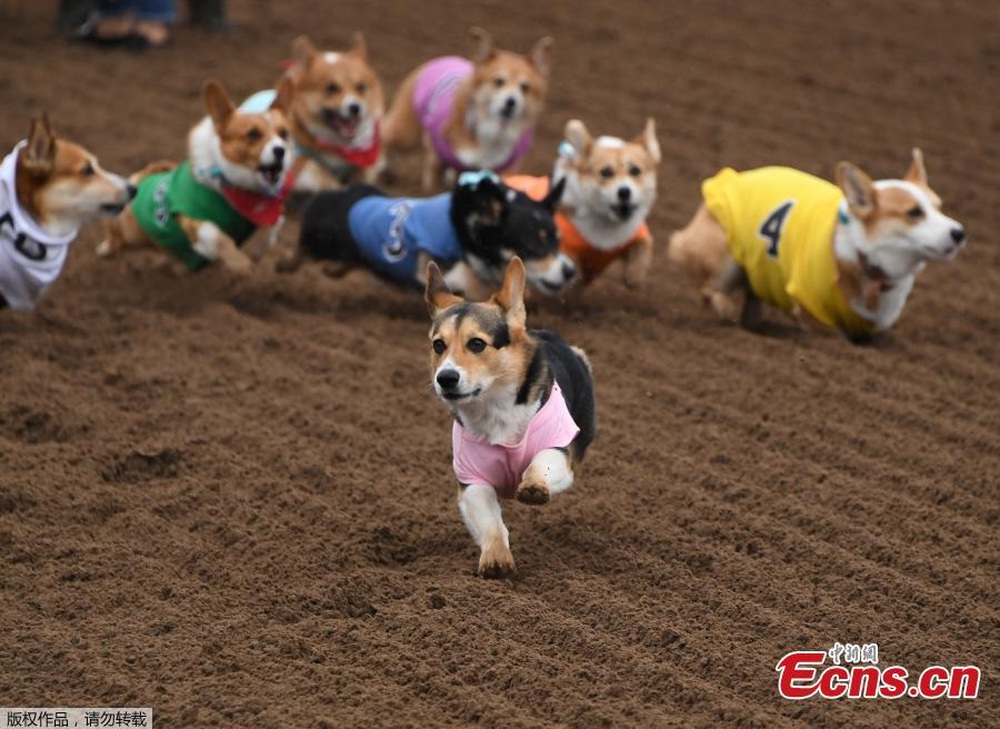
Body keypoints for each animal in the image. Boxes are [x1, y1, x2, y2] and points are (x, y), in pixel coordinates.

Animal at [282, 169, 580, 298]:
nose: (570, 272)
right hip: (321, 241)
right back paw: (285, 265)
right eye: (534, 246)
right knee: (301, 250)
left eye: (557, 241)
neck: (470, 237)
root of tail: (329, 194)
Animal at [422, 256, 592, 576]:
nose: (445, 378)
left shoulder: (562, 453)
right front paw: (496, 558)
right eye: (438, 345)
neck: (495, 406)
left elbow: (542, 461)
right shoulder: (471, 481)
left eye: (477, 343)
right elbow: (491, 522)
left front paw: (534, 486)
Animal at [668, 150, 964, 342]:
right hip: (725, 258)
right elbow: (833, 334)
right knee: (708, 289)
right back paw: (725, 311)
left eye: (939, 207)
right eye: (914, 212)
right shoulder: (814, 310)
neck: (868, 263)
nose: (959, 233)